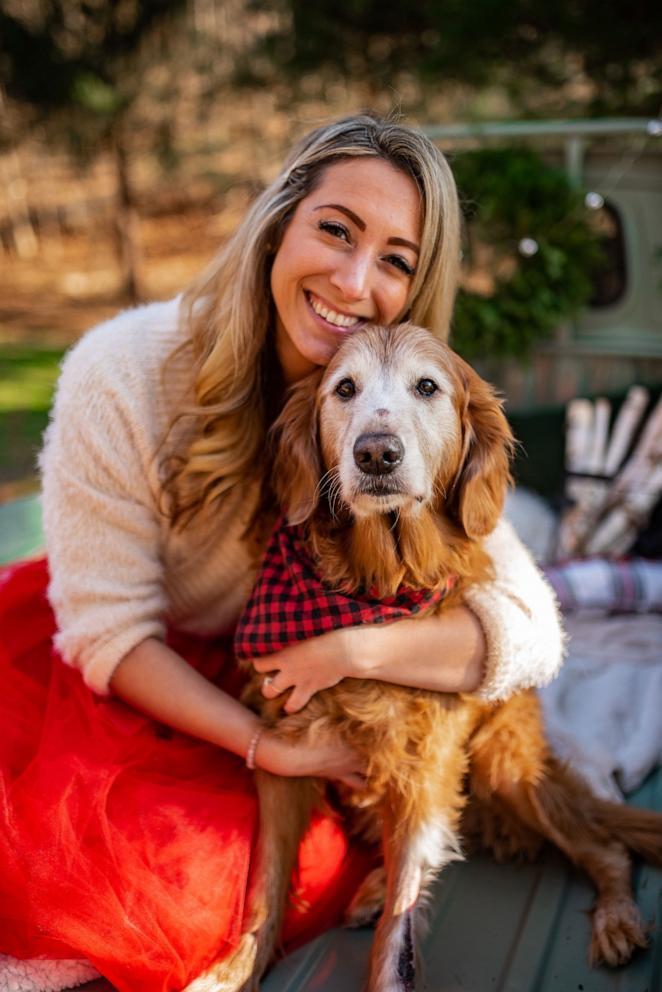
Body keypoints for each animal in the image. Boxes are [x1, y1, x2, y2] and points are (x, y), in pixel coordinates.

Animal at [187, 326, 662, 992]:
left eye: (427, 387)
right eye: (344, 389)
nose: (376, 454)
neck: (374, 591)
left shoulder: (423, 771)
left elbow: (399, 931)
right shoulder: (284, 756)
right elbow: (266, 885)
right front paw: (234, 970)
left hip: (505, 767)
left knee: (603, 848)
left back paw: (617, 917)